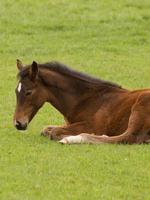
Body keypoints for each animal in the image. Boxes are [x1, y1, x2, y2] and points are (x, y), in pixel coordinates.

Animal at [12, 58, 150, 145]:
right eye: (16, 91)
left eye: (28, 92)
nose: (18, 123)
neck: (85, 100)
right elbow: (46, 130)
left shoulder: (93, 126)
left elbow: (55, 132)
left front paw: (66, 136)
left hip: (139, 107)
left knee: (128, 137)